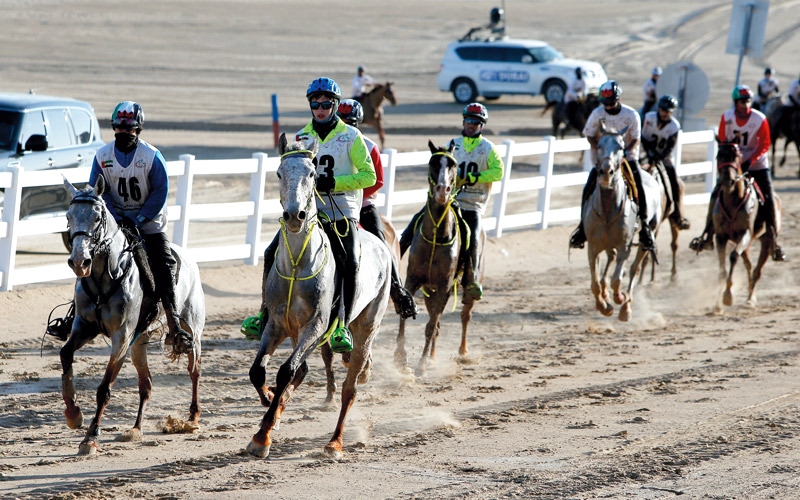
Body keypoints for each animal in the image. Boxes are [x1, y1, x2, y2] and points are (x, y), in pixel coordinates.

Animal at [60, 178, 206, 456]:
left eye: (97, 218)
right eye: (68, 216)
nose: (79, 262)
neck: (105, 276)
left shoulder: (122, 337)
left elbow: (105, 388)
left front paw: (91, 436)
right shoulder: (84, 328)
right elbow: (65, 355)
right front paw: (73, 414)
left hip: (191, 331)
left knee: (194, 371)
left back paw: (192, 417)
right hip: (139, 343)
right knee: (146, 385)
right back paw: (136, 429)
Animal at [245, 134, 392, 460]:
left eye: (313, 174)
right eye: (279, 173)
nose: (294, 216)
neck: (298, 263)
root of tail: (381, 245)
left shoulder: (316, 326)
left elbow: (286, 371)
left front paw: (263, 436)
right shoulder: (276, 324)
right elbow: (259, 372)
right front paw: (269, 406)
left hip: (366, 328)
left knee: (350, 389)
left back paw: (335, 443)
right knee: (303, 370)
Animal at [394, 140, 482, 376]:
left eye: (453, 165)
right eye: (433, 163)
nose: (443, 190)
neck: (435, 238)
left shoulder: (444, 286)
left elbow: (431, 326)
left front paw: (421, 364)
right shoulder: (413, 281)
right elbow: (407, 315)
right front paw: (400, 357)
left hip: (465, 287)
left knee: (464, 316)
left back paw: (462, 352)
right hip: (429, 291)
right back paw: (433, 357)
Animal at [580, 125, 664, 320]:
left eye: (620, 147)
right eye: (599, 145)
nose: (606, 172)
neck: (607, 210)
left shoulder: (624, 247)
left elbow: (617, 280)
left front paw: (619, 299)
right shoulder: (593, 248)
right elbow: (595, 283)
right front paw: (603, 305)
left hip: (646, 236)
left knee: (634, 269)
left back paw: (626, 307)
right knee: (610, 261)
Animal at [708, 143, 780, 310]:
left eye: (736, 157)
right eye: (718, 156)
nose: (727, 180)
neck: (733, 201)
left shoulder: (745, 233)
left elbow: (733, 256)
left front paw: (728, 296)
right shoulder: (721, 237)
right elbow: (722, 269)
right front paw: (718, 304)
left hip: (765, 242)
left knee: (757, 270)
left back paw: (750, 298)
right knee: (749, 264)